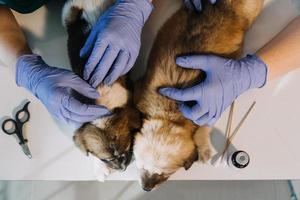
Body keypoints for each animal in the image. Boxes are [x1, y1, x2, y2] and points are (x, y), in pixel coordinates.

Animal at [133, 0, 262, 191]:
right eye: (141, 167)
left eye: (165, 174)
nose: (146, 189)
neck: (169, 114)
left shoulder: (210, 108)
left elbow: (202, 129)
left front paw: (204, 149)